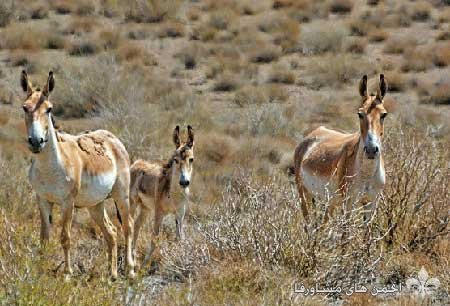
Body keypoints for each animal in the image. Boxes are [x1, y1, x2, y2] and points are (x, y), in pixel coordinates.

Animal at [20, 71, 134, 280]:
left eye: (49, 109)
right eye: (25, 107)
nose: (36, 142)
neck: (51, 168)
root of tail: (113, 138)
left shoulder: (67, 202)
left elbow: (65, 237)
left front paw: (67, 274)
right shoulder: (42, 200)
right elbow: (44, 239)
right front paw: (40, 273)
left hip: (121, 195)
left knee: (127, 226)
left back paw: (130, 269)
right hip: (95, 204)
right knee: (111, 232)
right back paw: (111, 275)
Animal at [129, 125, 194, 264]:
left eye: (191, 159)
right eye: (175, 160)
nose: (184, 182)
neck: (174, 196)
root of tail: (136, 163)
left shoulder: (180, 214)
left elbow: (180, 237)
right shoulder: (159, 212)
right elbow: (154, 237)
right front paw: (145, 264)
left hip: (145, 208)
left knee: (136, 225)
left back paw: (133, 254)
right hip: (132, 204)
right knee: (128, 226)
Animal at [296, 74, 386, 222]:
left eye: (383, 114)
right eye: (360, 114)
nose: (371, 150)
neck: (367, 172)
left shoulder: (371, 203)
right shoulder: (348, 202)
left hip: (329, 202)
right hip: (304, 195)